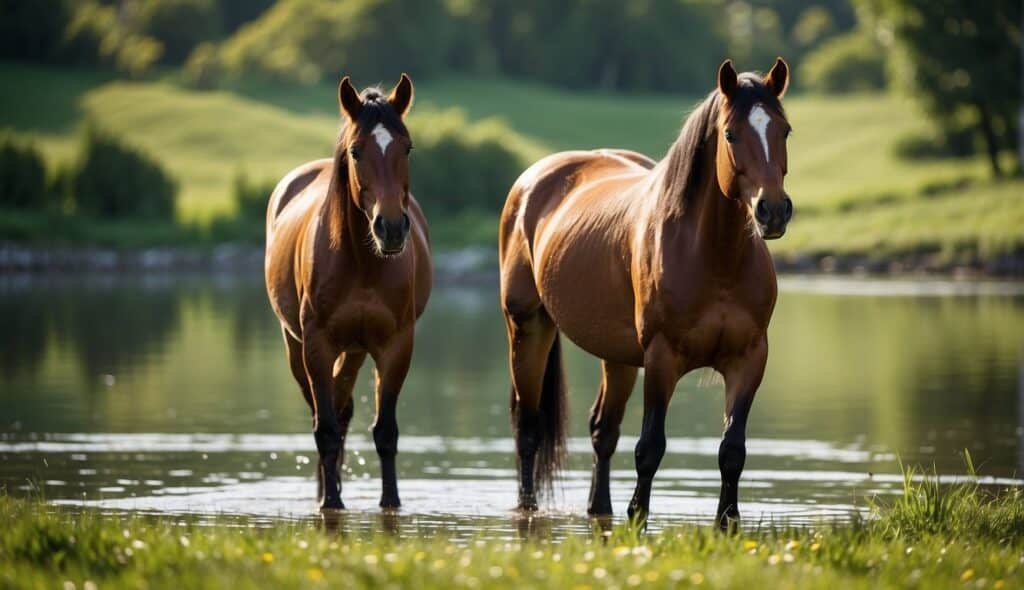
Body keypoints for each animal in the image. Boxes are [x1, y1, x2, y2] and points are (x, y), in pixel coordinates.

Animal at [266, 72, 430, 508]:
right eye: (356, 152)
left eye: (407, 147)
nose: (391, 228)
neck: (362, 263)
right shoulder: (316, 345)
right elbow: (324, 428)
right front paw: (331, 503)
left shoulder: (396, 346)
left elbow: (384, 431)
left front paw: (390, 502)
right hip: (296, 346)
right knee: (325, 415)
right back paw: (326, 489)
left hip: (355, 349)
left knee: (342, 409)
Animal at [499, 58, 794, 524]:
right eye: (731, 133)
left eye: (784, 130)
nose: (774, 210)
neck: (715, 257)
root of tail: (531, 182)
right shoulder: (661, 357)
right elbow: (650, 448)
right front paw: (637, 515)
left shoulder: (749, 359)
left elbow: (732, 450)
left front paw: (727, 521)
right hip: (528, 329)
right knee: (529, 429)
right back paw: (529, 508)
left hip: (616, 355)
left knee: (603, 430)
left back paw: (598, 507)